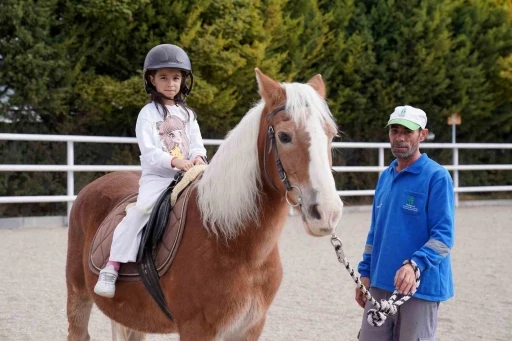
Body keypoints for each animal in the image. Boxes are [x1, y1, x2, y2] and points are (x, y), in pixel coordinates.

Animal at [65, 69, 344, 340]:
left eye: (331, 135)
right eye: (285, 137)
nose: (327, 212)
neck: (230, 240)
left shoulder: (250, 328)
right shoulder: (197, 328)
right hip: (78, 294)